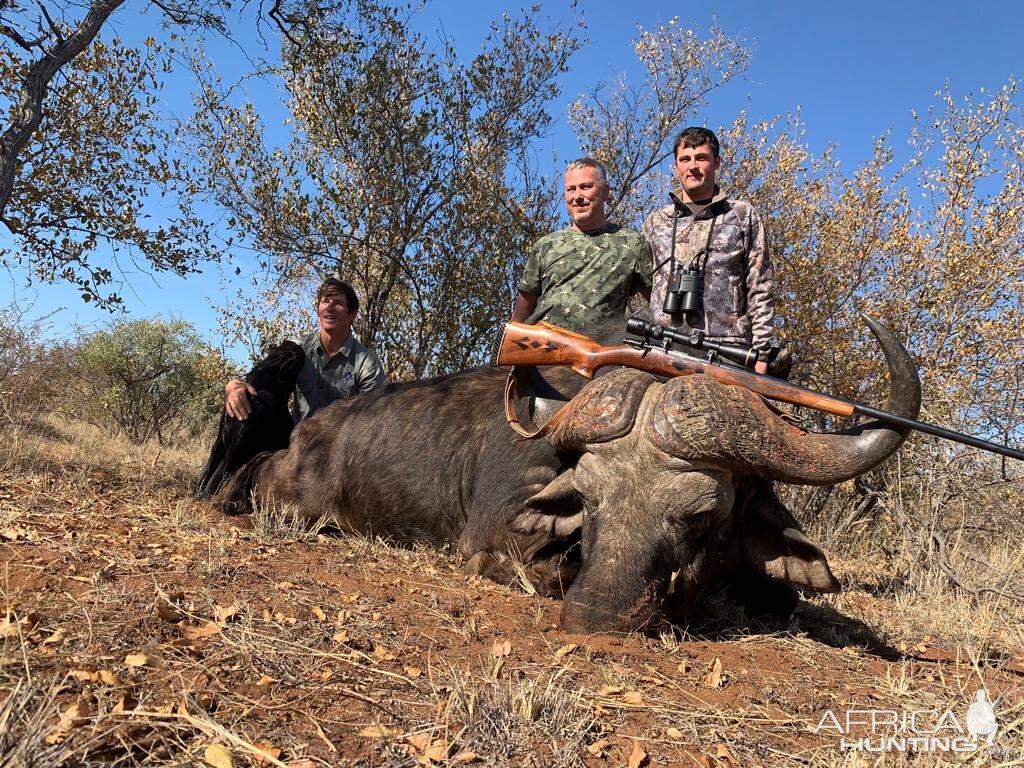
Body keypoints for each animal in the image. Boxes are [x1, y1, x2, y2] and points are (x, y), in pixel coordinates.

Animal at [192, 342, 301, 499]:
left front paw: (205, 496)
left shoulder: (239, 442)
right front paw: (196, 493)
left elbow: (218, 473)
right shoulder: (221, 439)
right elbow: (208, 470)